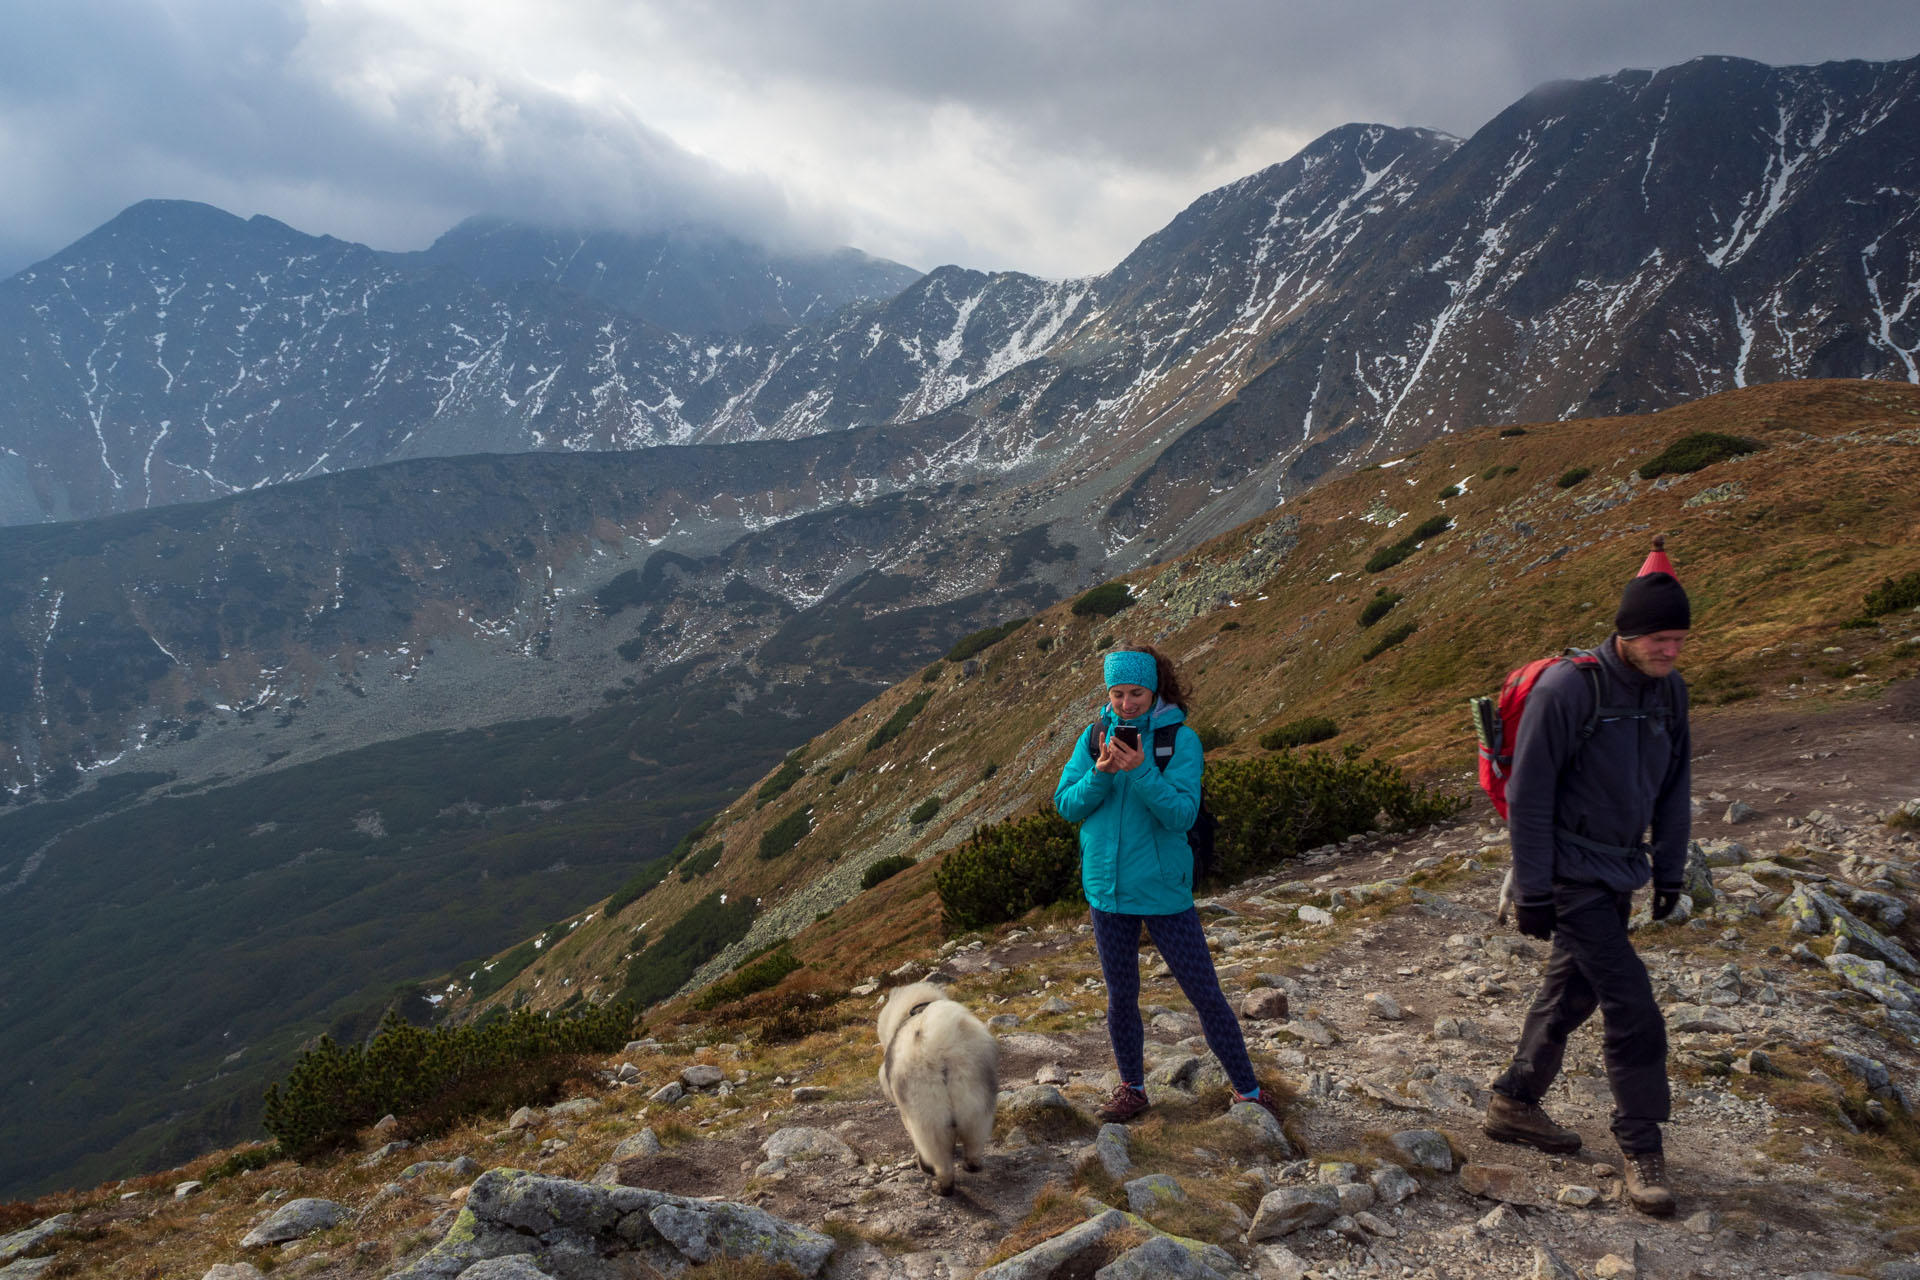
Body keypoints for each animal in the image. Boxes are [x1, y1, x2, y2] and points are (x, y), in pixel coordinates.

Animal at [879, 990, 998, 1197]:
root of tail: (939, 1043)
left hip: (926, 1111)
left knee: (937, 1150)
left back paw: (941, 1185)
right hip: (976, 1093)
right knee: (974, 1137)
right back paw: (969, 1165)